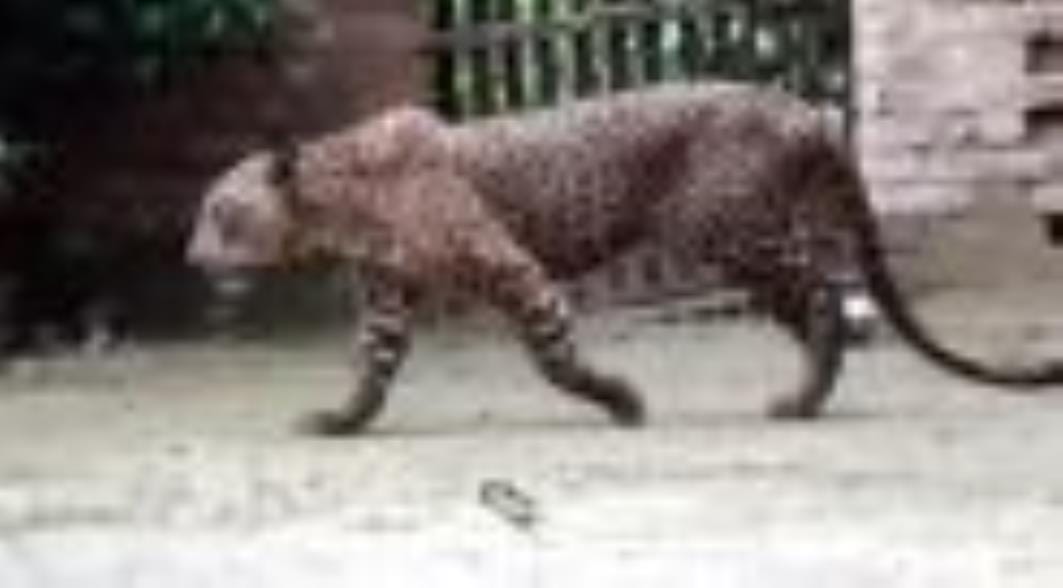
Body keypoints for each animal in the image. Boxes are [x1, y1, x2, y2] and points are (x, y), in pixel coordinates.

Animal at [186, 80, 1063, 435]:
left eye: (221, 214)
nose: (192, 259)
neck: (337, 209)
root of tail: (799, 105)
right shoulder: (387, 297)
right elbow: (371, 368)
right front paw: (341, 422)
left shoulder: (512, 269)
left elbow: (553, 357)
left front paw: (619, 400)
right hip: (748, 241)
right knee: (824, 302)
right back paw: (810, 394)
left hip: (736, 238)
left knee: (822, 298)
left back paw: (801, 401)